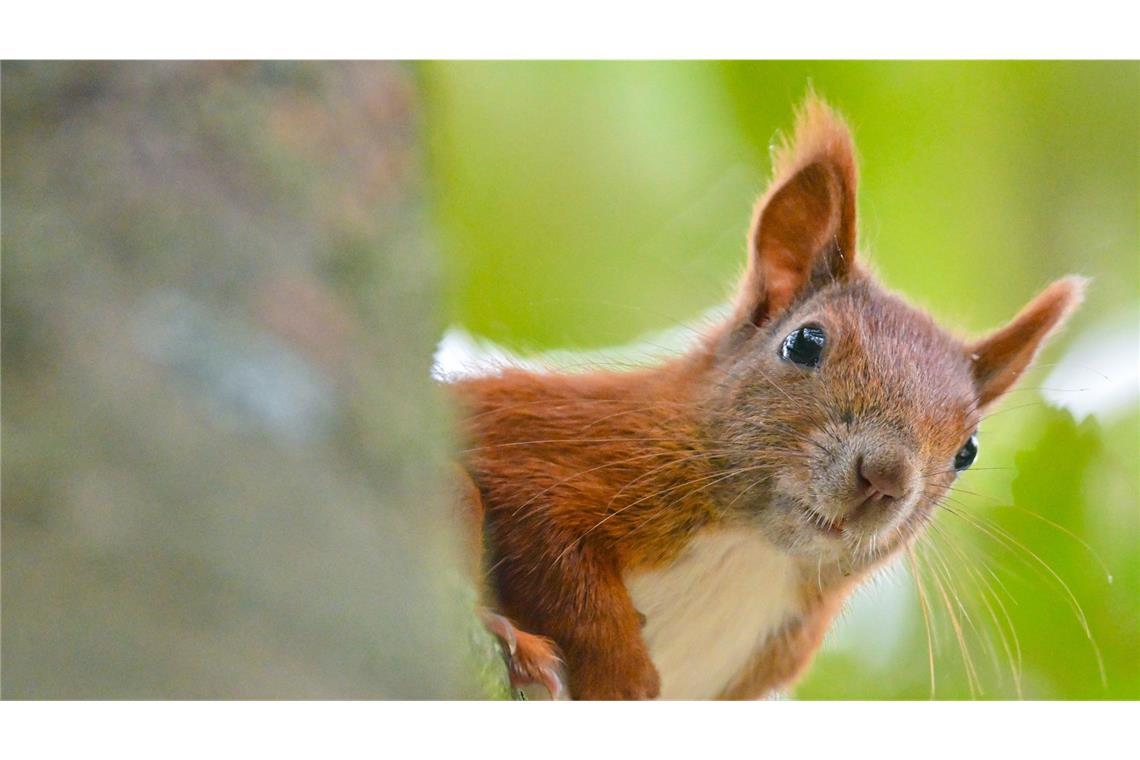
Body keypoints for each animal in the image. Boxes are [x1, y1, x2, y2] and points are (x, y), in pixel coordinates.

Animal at [446, 95, 1085, 700]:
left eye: (968, 450)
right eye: (804, 342)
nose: (885, 476)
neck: (755, 550)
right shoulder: (554, 441)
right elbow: (555, 554)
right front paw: (622, 675)